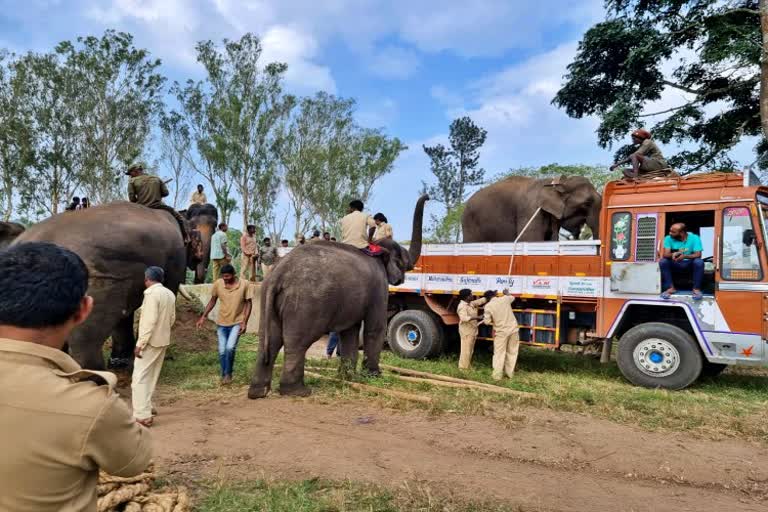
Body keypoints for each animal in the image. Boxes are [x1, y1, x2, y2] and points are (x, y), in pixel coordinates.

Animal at [249, 194, 428, 398]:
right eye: (401, 260)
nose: (428, 196)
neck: (375, 248)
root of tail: (279, 273)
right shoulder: (378, 286)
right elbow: (375, 327)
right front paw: (374, 376)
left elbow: (350, 331)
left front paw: (347, 377)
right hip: (305, 304)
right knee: (297, 342)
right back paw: (297, 391)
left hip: (267, 298)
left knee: (269, 340)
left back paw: (258, 392)